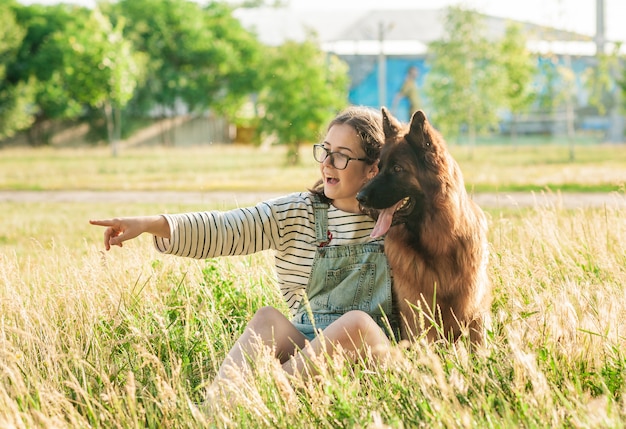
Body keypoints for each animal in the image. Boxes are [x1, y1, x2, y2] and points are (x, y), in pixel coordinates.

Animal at [358, 107, 490, 344]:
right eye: (379, 168)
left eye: (397, 168)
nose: (359, 197)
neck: (439, 243)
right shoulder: (417, 314)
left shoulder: (473, 311)